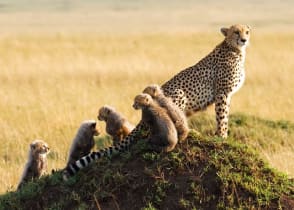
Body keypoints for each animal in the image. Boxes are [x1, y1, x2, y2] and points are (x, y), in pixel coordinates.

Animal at [63, 24, 250, 179]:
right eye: (236, 32)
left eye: (246, 31)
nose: (244, 39)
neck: (235, 50)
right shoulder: (222, 93)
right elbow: (222, 118)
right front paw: (222, 136)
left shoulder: (224, 94)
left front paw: (222, 136)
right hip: (179, 94)